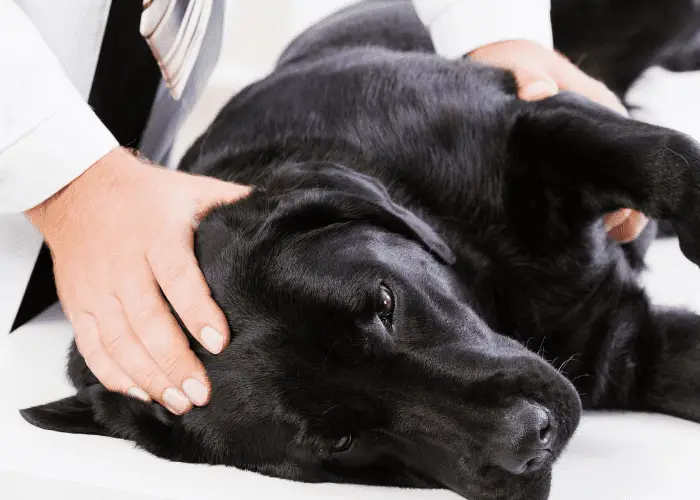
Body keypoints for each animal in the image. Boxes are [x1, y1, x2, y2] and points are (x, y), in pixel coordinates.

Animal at [20, 0, 700, 500]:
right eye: (341, 443)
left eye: (385, 302)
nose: (530, 438)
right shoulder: (628, 351)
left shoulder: (527, 126)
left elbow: (669, 161)